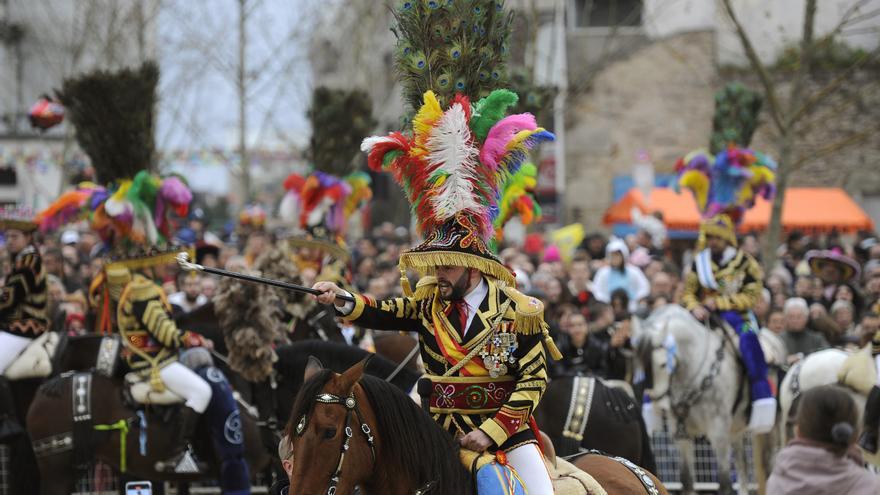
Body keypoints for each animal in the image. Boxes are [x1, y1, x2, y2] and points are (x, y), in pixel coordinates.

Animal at [632, 306, 768, 495]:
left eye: (662, 364)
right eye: (637, 363)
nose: (656, 400)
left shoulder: (718, 433)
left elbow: (724, 485)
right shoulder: (682, 436)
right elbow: (687, 482)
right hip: (735, 429)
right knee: (742, 464)